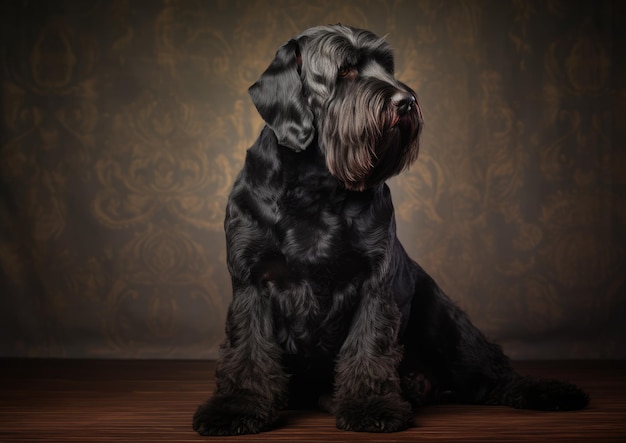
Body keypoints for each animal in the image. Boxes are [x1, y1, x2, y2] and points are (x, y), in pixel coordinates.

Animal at [193, 22, 588, 436]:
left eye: (387, 68)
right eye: (345, 70)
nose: (407, 102)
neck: (318, 185)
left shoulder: (375, 282)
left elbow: (368, 346)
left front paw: (371, 406)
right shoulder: (252, 281)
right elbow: (248, 350)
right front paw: (236, 407)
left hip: (445, 320)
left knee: (491, 375)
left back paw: (545, 391)